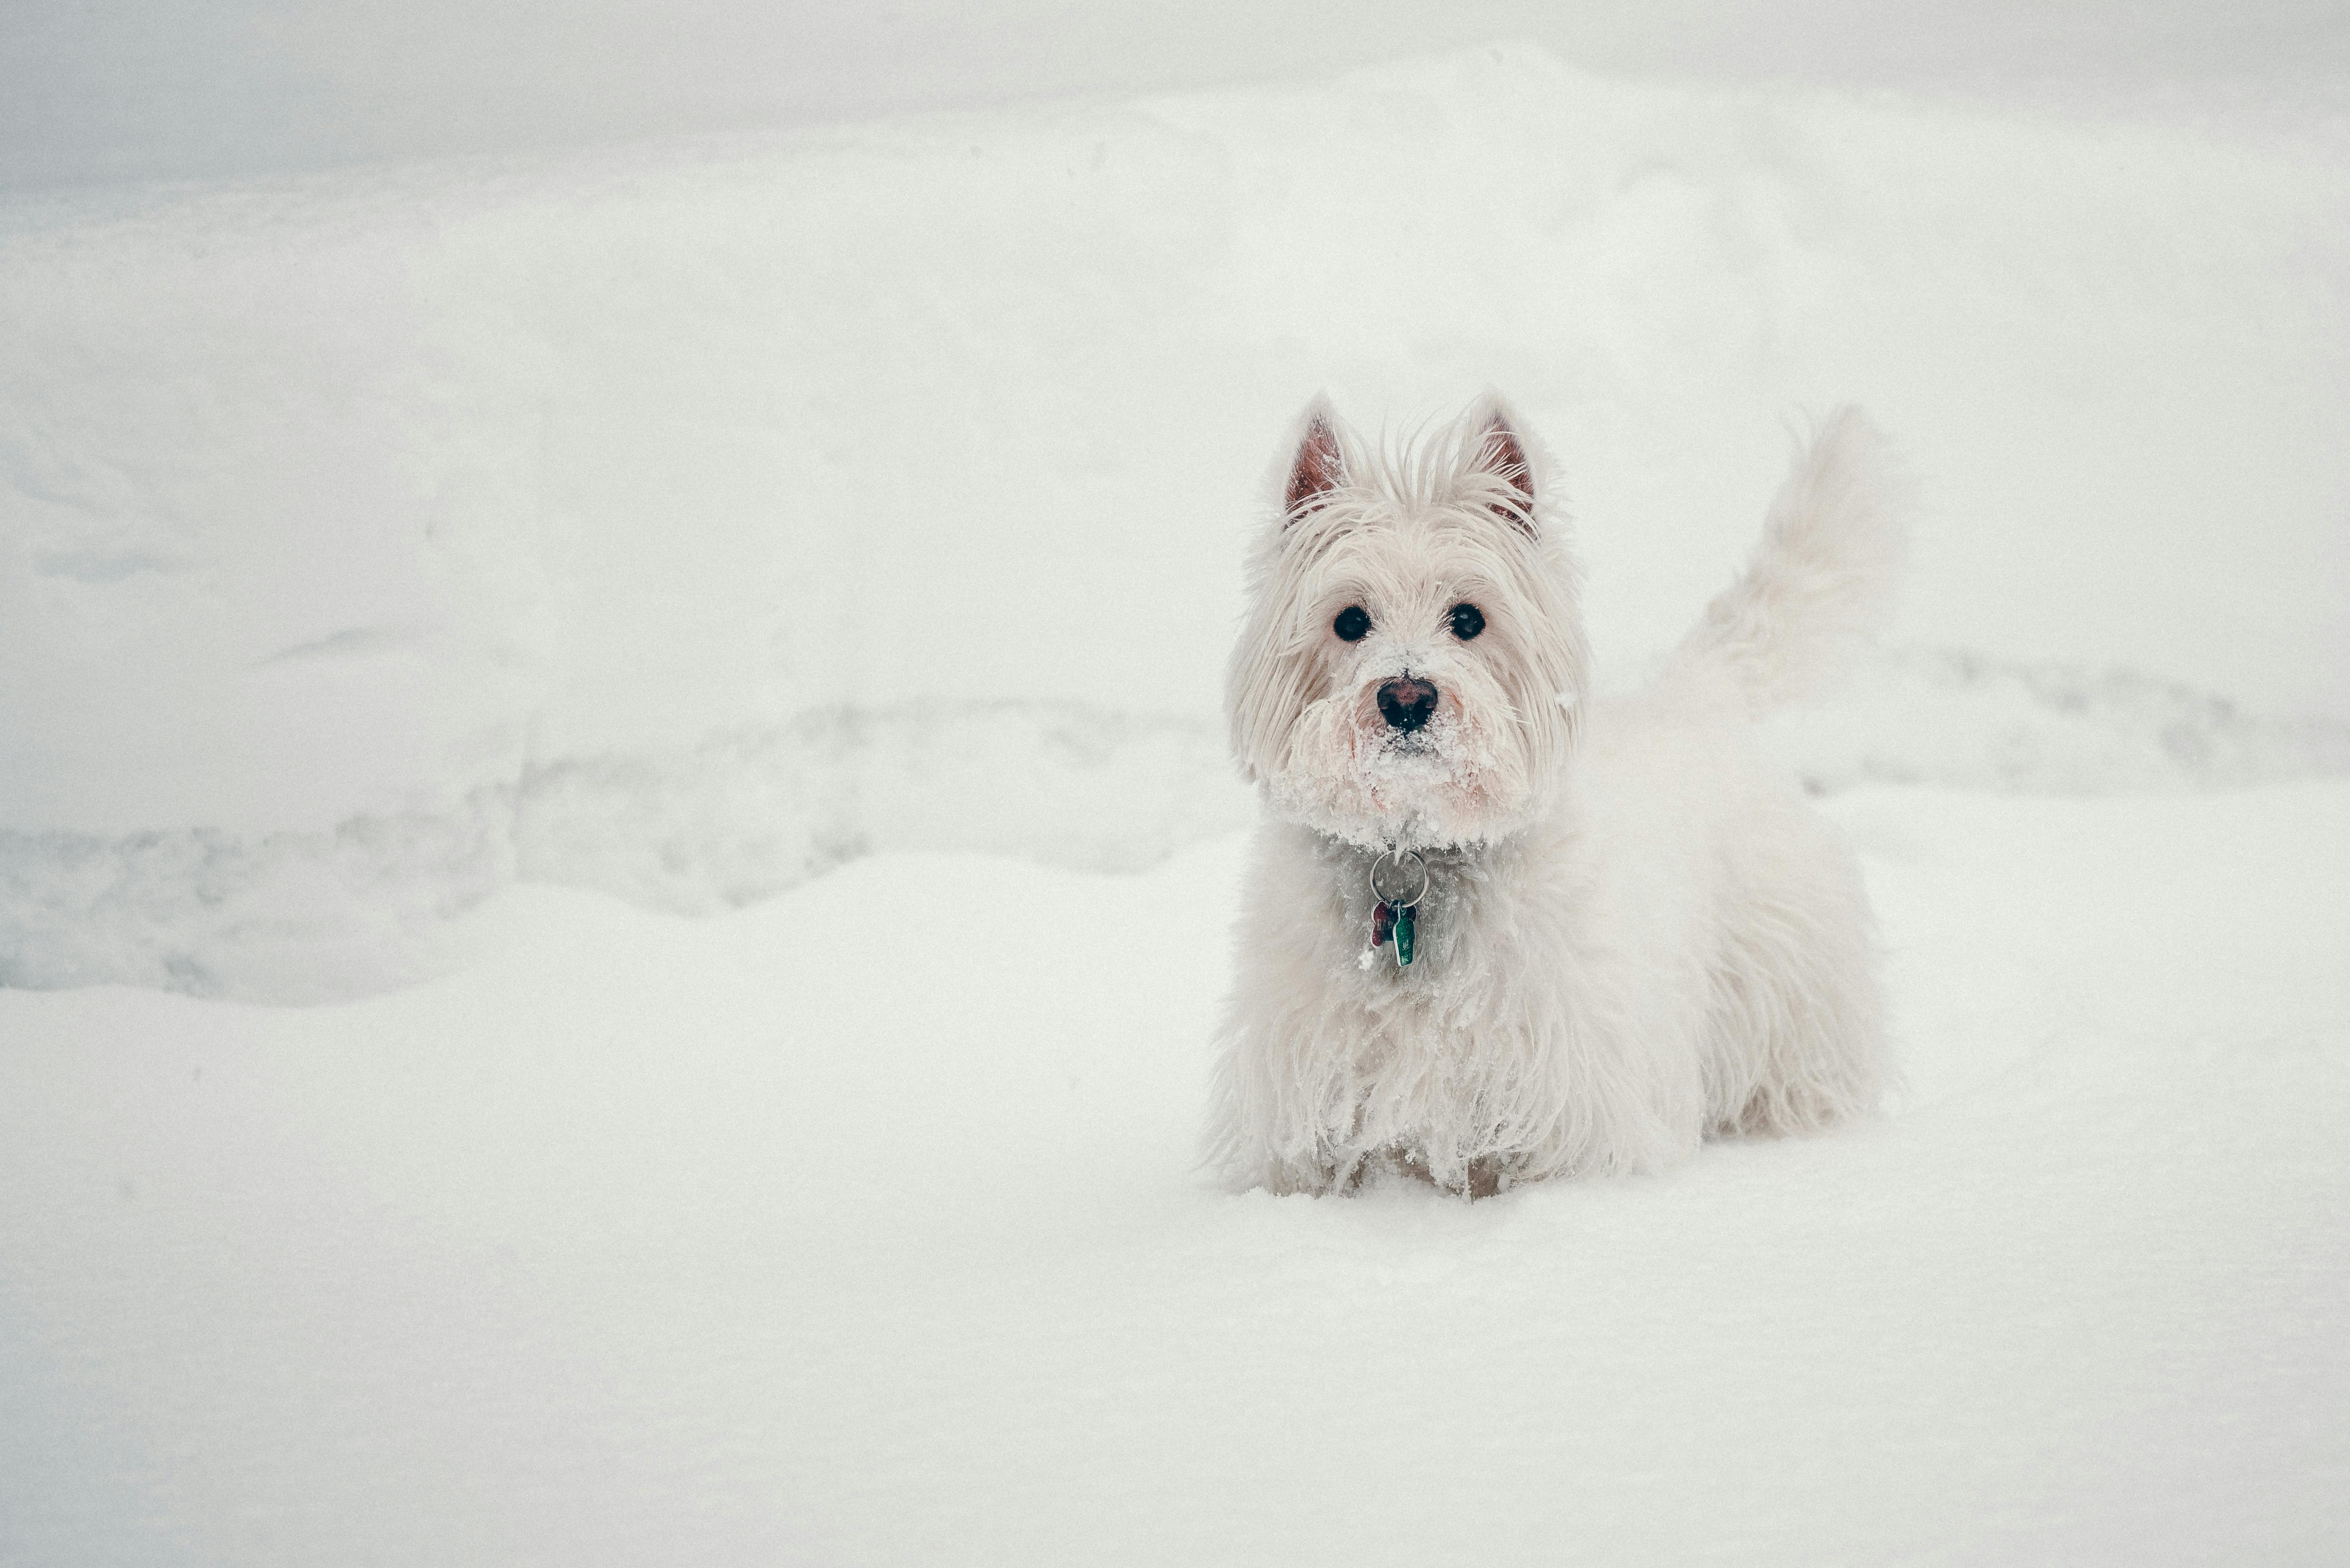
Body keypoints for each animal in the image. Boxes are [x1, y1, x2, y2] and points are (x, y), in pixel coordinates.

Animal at [1213, 399, 1908, 1194]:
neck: (1416, 857)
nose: (1406, 698)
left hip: (1786, 976)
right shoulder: (1301, 1095)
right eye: (1350, 620)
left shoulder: (1570, 1100)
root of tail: (1695, 695)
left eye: (1469, 617)